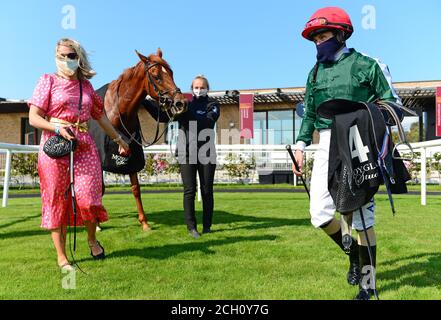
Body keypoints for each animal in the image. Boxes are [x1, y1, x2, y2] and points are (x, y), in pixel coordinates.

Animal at [93, 48, 186, 230]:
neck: (118, 110)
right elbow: (100, 188)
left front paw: (144, 222)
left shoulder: (132, 157)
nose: (180, 103)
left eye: (171, 73)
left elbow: (136, 188)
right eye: (156, 76)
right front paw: (97, 223)